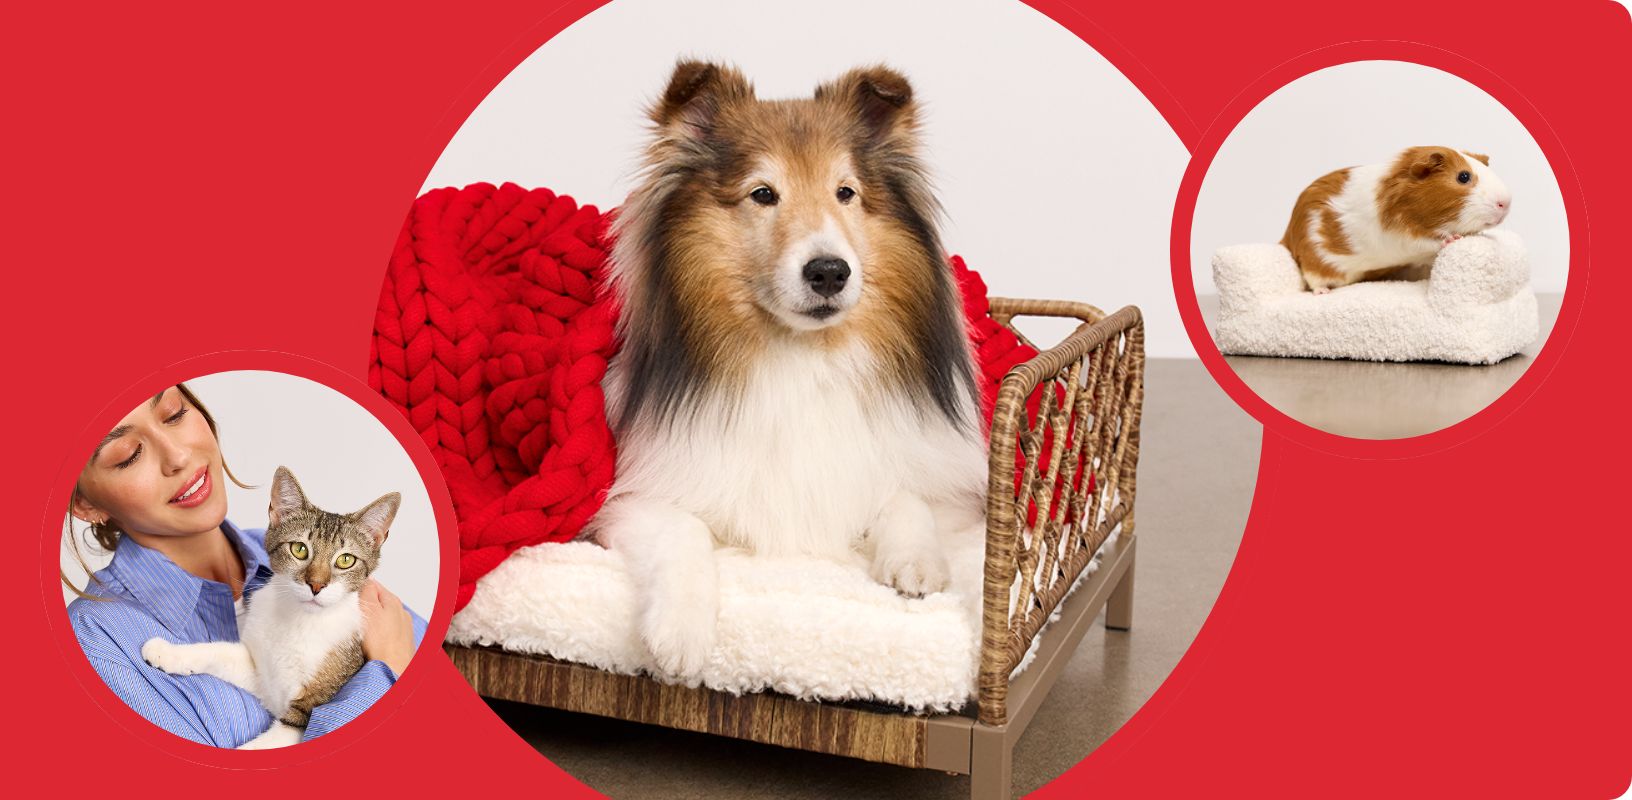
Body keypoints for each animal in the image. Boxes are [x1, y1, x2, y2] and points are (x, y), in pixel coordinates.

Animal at [594, 59, 985, 679]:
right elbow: (683, 529)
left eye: (845, 192)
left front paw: (916, 564)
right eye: (762, 193)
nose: (829, 272)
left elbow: (906, 494)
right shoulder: (630, 499)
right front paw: (679, 633)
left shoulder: (956, 496)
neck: (804, 355)